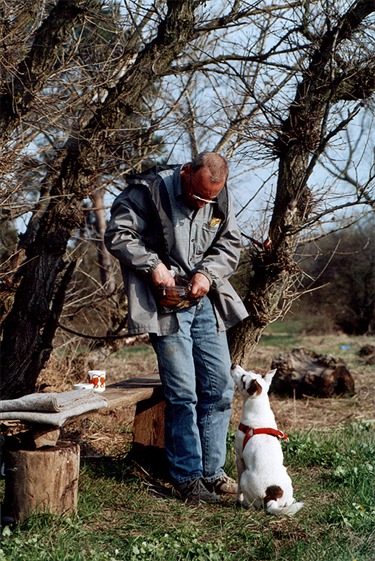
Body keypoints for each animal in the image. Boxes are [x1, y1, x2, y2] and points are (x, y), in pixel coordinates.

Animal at [231, 364, 304, 516]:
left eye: (243, 378)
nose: (233, 365)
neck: (258, 407)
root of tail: (271, 496)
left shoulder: (239, 457)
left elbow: (238, 485)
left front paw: (238, 499)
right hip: (287, 479)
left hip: (246, 477)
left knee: (251, 503)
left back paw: (244, 503)